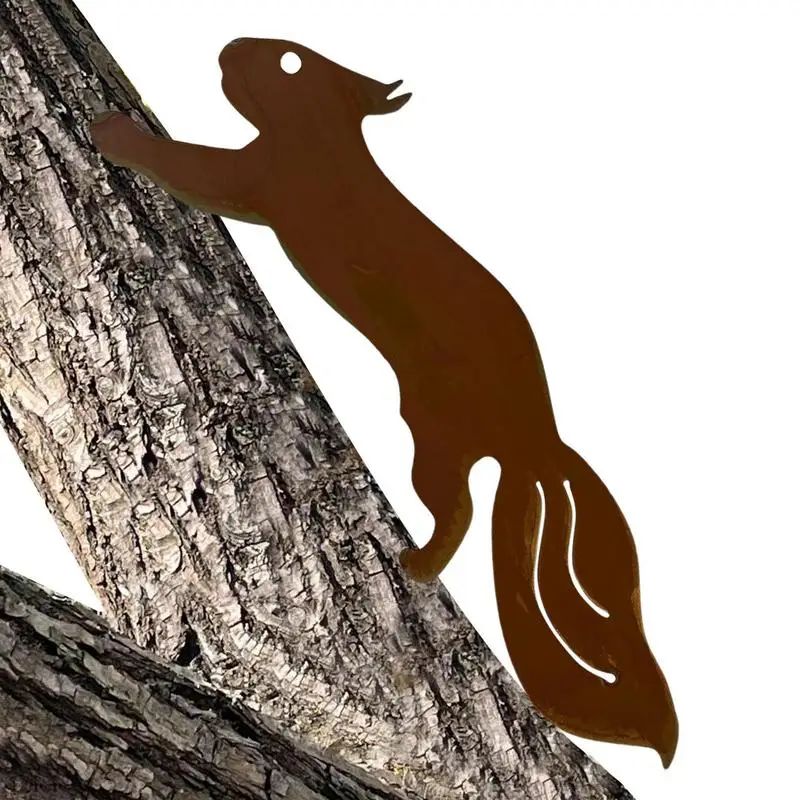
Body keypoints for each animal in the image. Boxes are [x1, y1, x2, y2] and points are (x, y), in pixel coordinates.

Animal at [91, 37, 679, 766]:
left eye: (289, 60)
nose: (230, 47)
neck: (325, 138)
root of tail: (534, 440)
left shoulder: (264, 176)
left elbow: (195, 168)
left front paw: (113, 133)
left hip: (434, 434)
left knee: (457, 509)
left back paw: (418, 562)